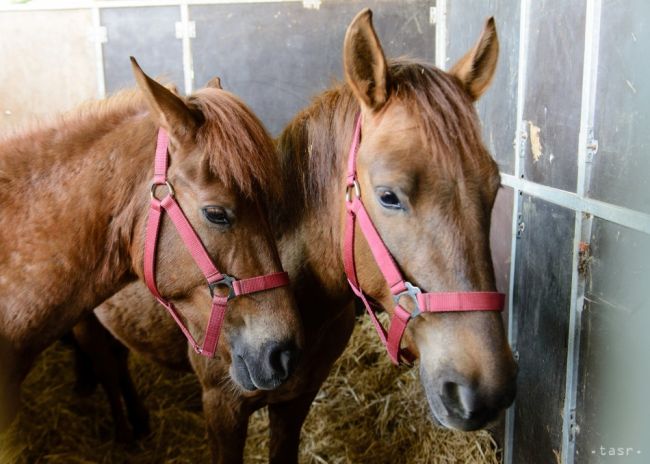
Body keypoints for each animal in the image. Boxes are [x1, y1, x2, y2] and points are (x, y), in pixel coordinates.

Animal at [73, 8, 516, 464]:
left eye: (494, 187)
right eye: (389, 196)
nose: (483, 389)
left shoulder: (297, 398)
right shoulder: (222, 406)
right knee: (107, 368)